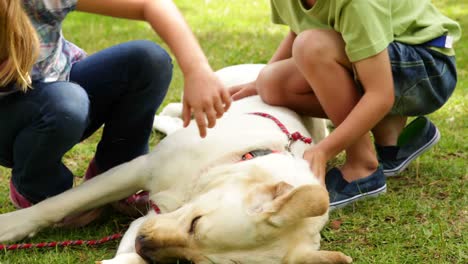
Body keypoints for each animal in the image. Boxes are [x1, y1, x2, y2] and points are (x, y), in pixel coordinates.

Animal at [0, 64, 352, 264]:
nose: (144, 245)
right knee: (173, 113)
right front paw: (9, 227)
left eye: (201, 263)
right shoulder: (138, 168)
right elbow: (59, 204)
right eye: (196, 223)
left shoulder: (150, 220)